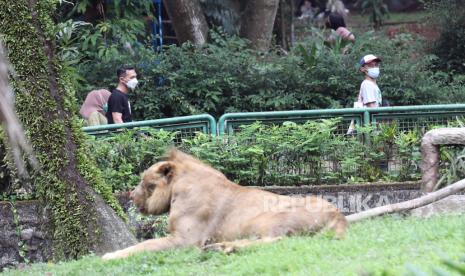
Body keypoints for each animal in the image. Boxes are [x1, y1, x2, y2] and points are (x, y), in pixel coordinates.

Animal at [102, 149, 348, 258]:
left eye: (144, 182)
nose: (130, 196)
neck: (176, 190)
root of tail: (339, 215)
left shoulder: (186, 240)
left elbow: (144, 245)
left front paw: (109, 256)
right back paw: (220, 247)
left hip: (265, 219)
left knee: (277, 240)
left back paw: (226, 247)